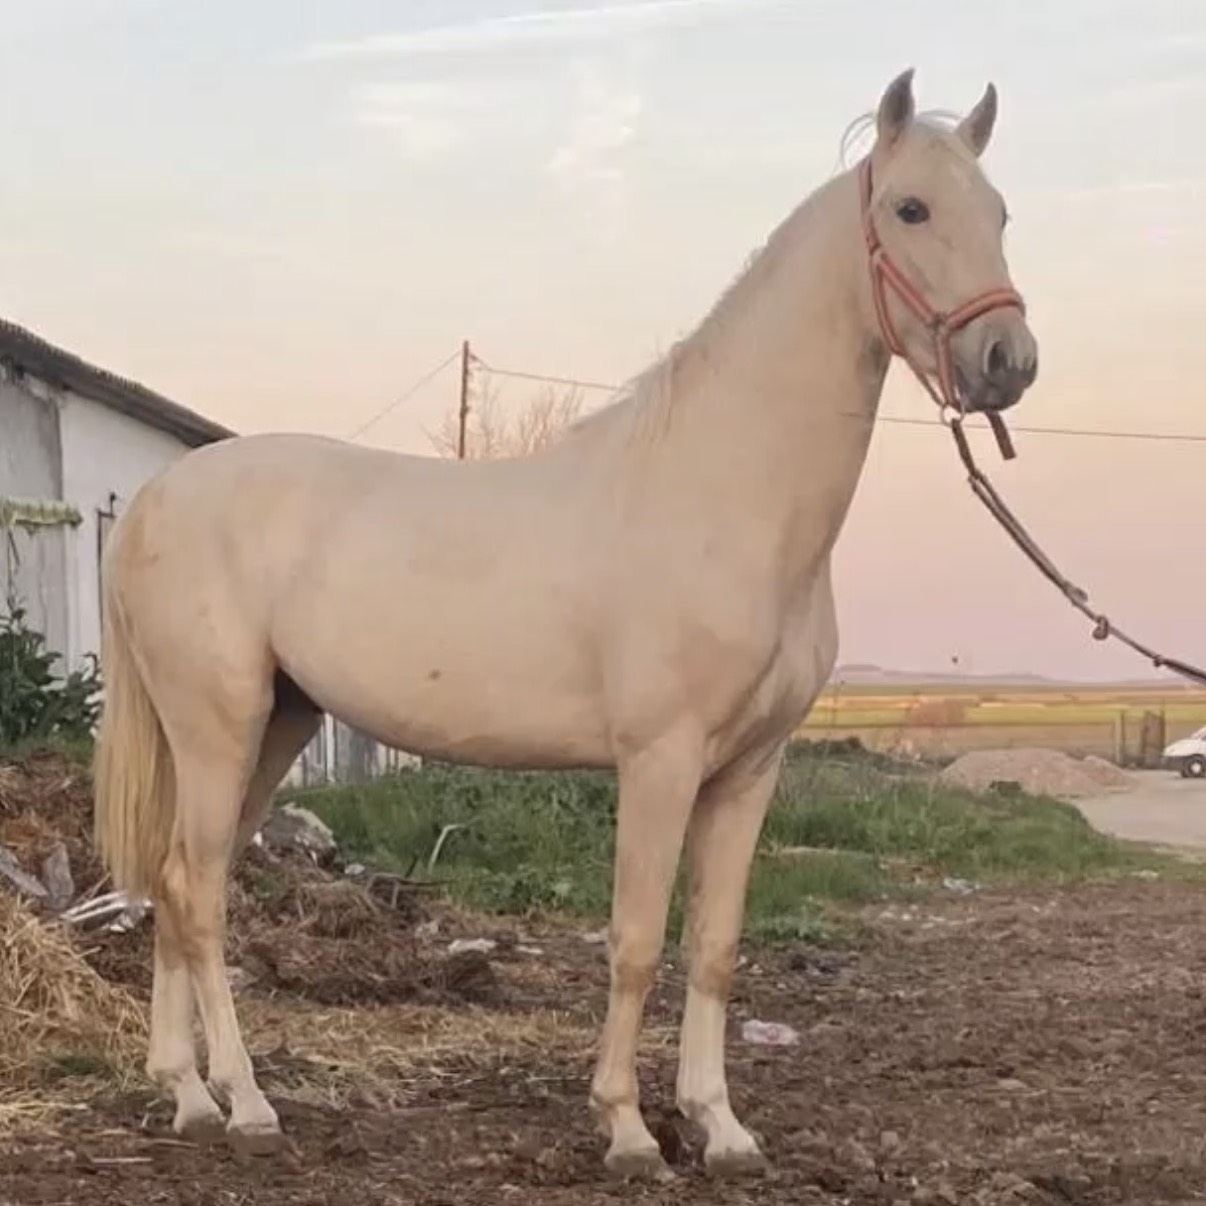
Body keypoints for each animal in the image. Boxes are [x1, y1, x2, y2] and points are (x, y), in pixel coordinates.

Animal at [92, 67, 1038, 1181]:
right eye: (910, 209)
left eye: (1001, 213)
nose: (1006, 359)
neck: (725, 491)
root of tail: (156, 497)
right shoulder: (660, 759)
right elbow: (634, 941)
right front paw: (626, 1128)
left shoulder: (748, 771)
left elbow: (715, 948)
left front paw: (720, 1127)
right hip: (219, 726)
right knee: (197, 893)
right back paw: (242, 1104)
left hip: (270, 728)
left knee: (176, 883)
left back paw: (185, 1092)